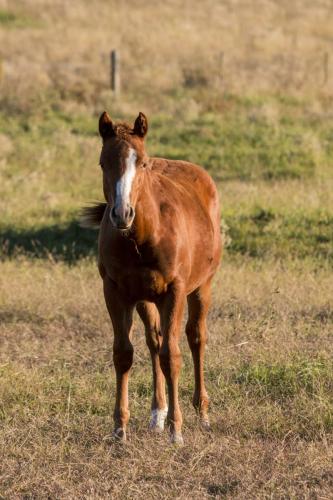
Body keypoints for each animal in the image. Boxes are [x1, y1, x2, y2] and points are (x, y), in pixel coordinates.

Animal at [83, 111, 222, 444]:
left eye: (142, 163)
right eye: (103, 162)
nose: (122, 214)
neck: (143, 235)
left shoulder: (174, 291)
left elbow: (172, 356)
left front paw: (176, 431)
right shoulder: (115, 292)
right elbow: (123, 354)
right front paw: (119, 429)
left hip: (202, 287)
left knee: (195, 338)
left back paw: (202, 414)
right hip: (146, 299)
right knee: (154, 341)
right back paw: (157, 414)